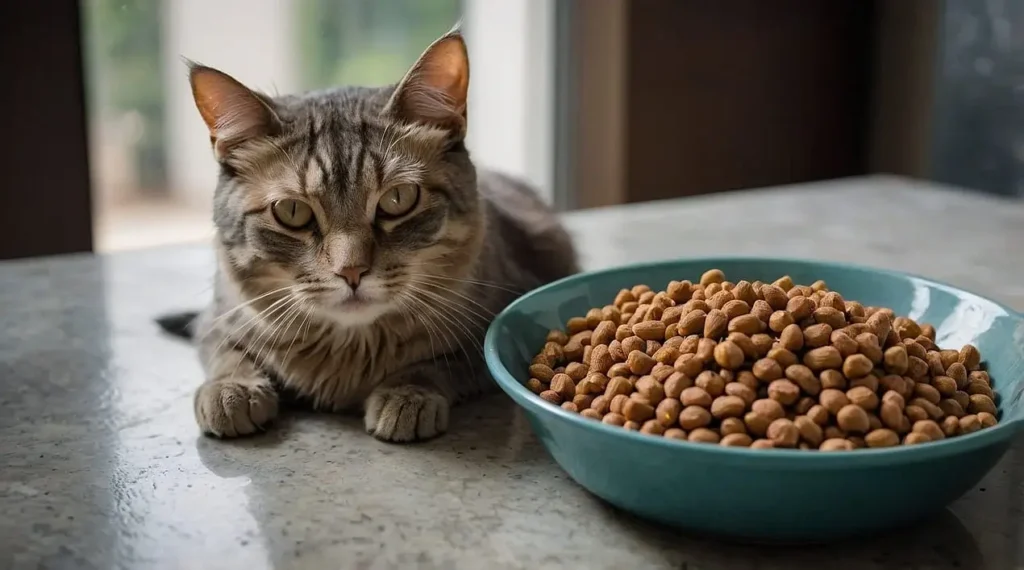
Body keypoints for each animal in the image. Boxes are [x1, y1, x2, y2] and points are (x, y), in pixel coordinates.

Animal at [155, 28, 581, 442]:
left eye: (398, 199)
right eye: (292, 212)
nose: (352, 271)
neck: (348, 351)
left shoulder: (489, 325)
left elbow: (440, 362)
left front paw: (407, 394)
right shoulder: (217, 317)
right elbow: (225, 351)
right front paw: (232, 390)